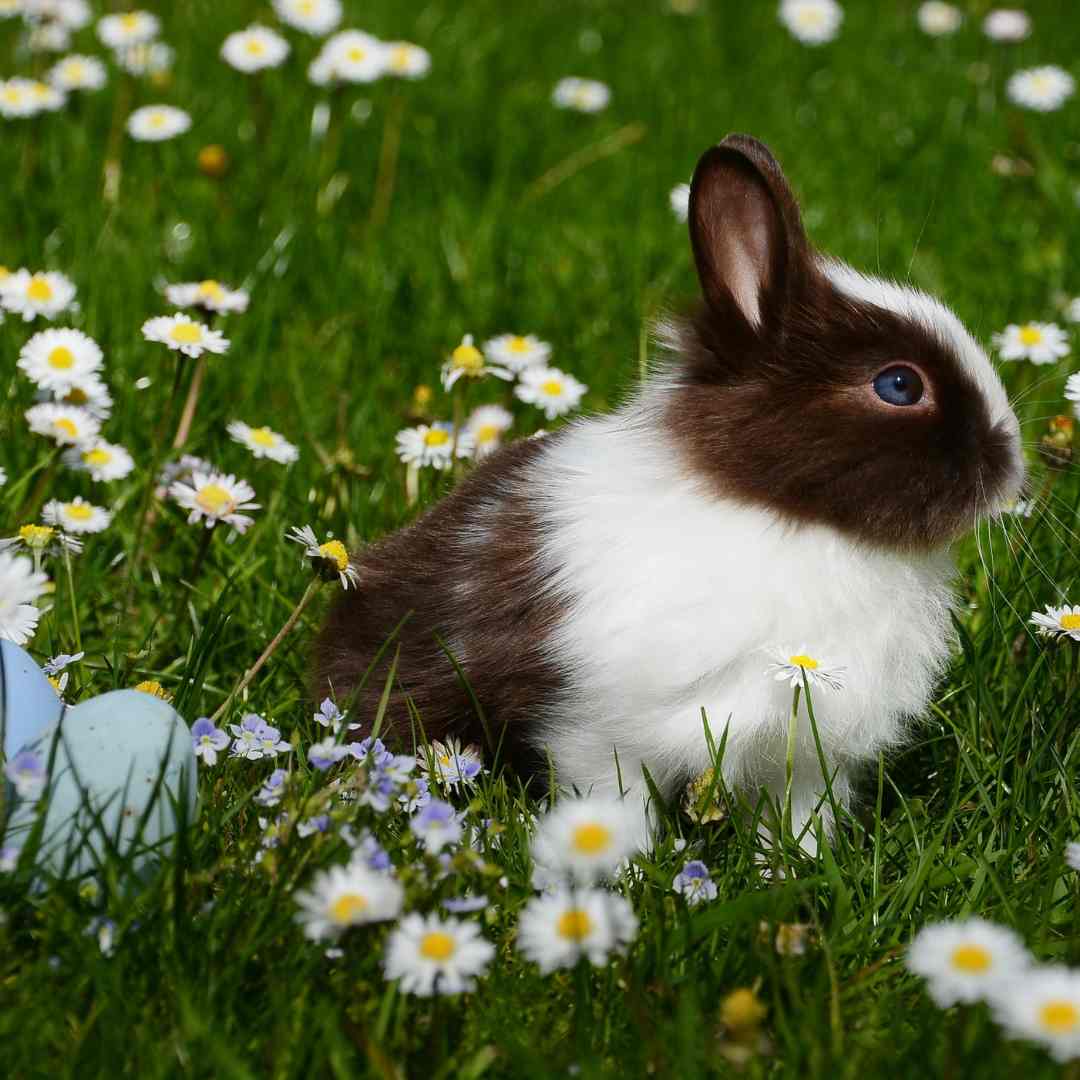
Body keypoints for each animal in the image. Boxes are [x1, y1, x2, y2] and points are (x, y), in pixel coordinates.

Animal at [315, 132, 1023, 851]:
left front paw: (792, 864)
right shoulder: (600, 732)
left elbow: (798, 818)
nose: (1012, 465)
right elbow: (612, 806)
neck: (785, 517)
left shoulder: (805, 755)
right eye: (900, 385)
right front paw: (619, 865)